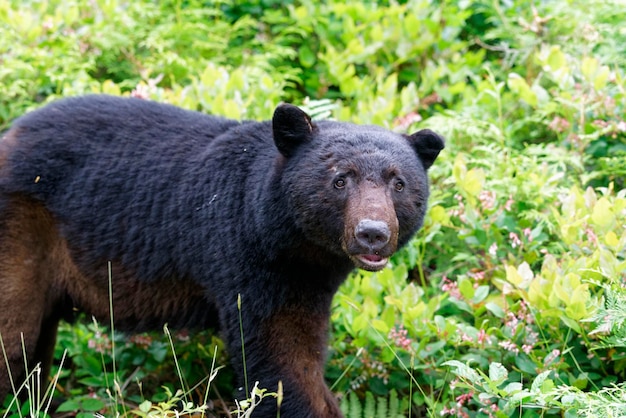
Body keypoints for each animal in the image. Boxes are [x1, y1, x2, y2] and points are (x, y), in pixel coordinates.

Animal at [0, 95, 444, 418]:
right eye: (339, 180)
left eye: (399, 183)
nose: (373, 233)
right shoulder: (249, 258)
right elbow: (280, 357)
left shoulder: (305, 276)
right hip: (22, 232)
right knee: (13, 332)